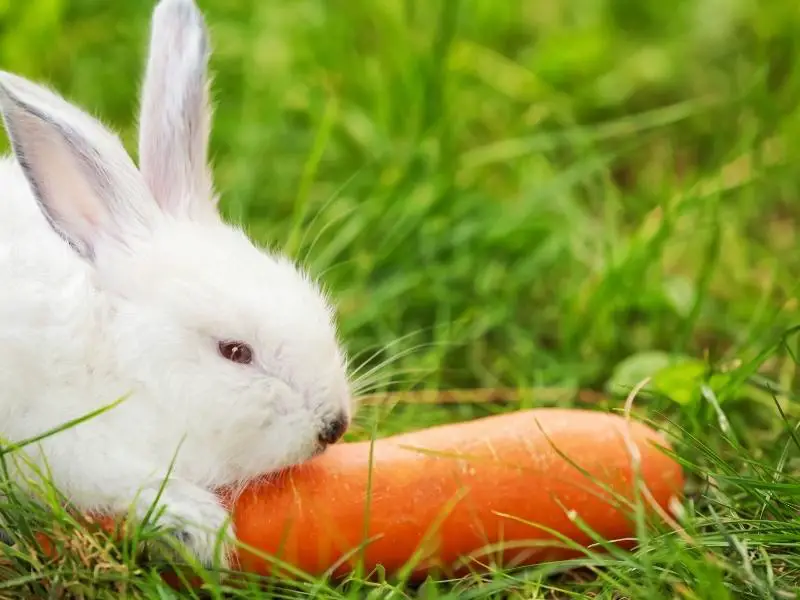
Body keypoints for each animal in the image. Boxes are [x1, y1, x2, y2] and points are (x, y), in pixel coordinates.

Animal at [0, 0, 354, 568]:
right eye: (235, 351)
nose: (334, 425)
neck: (121, 358)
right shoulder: (67, 445)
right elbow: (129, 485)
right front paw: (204, 530)